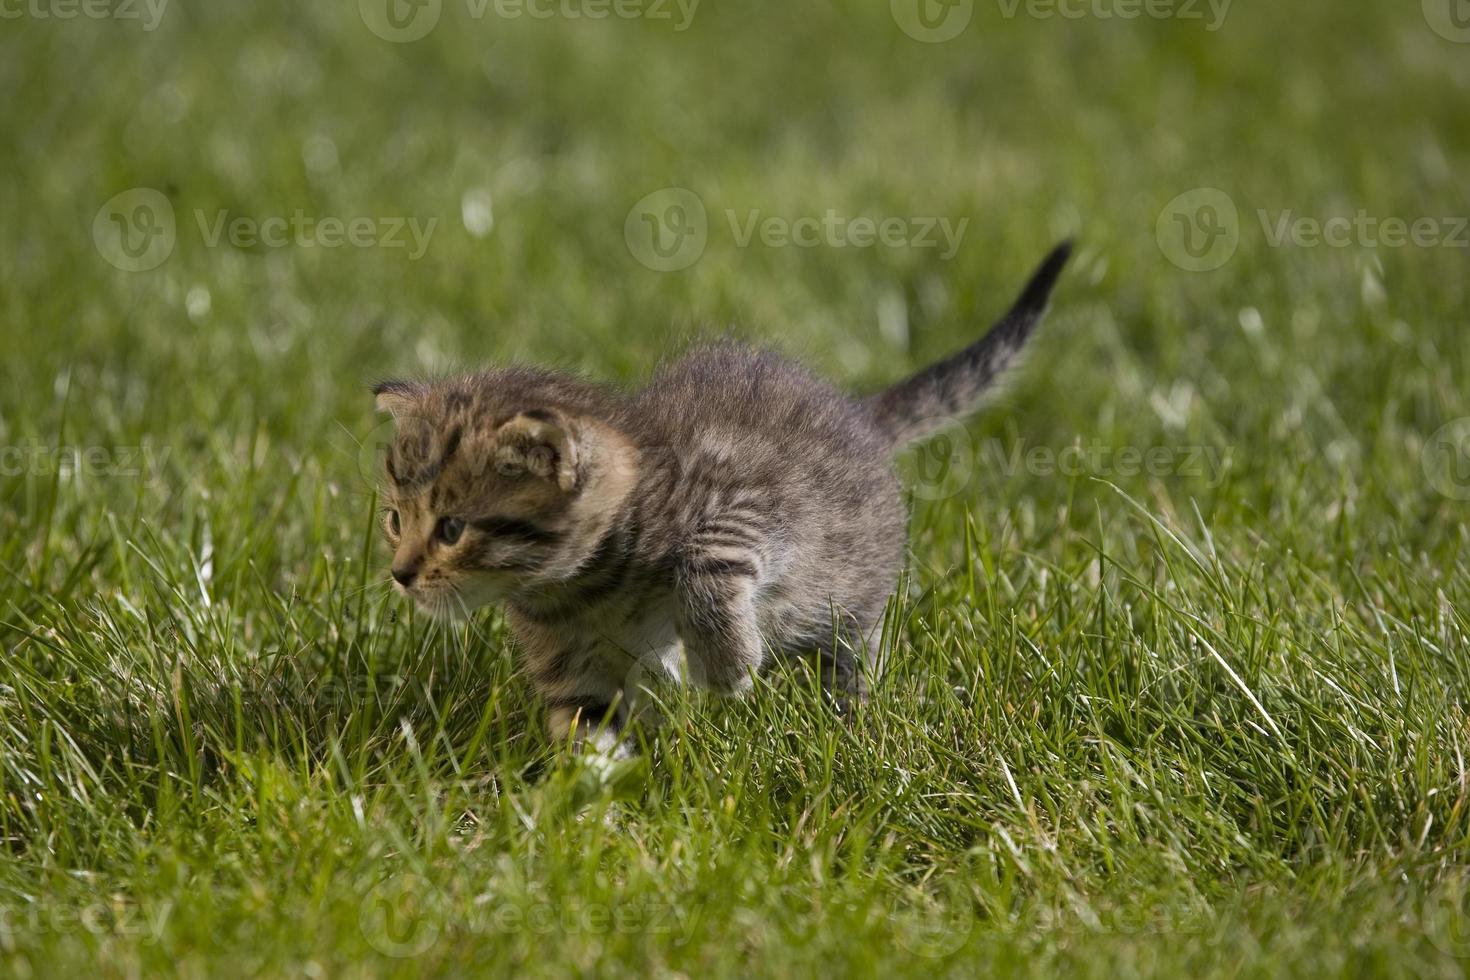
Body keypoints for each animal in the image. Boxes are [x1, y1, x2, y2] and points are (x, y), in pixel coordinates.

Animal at [373, 243, 1076, 752]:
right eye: (395, 520)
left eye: (452, 528)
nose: (400, 574)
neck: (582, 591)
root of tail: (860, 415)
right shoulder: (574, 670)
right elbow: (586, 726)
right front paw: (585, 810)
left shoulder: (751, 503)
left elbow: (705, 559)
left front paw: (728, 666)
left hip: (849, 598)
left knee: (850, 656)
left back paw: (847, 724)